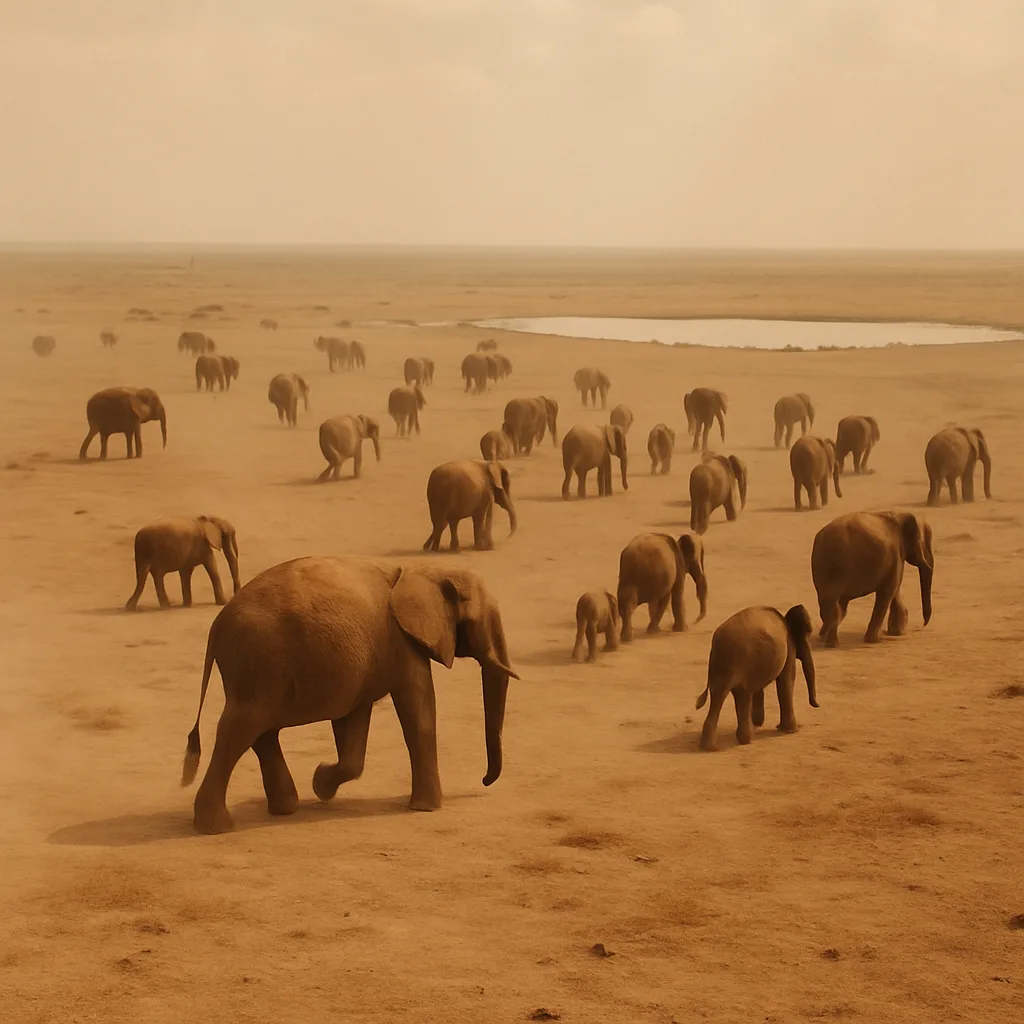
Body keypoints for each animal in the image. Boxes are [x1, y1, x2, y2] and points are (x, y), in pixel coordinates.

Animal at [179, 557, 519, 834]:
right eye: (479, 621)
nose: (484, 781)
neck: (424, 570)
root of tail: (216, 627)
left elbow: (353, 724)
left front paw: (321, 784)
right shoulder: (402, 643)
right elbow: (418, 712)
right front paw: (426, 809)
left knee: (261, 731)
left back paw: (286, 808)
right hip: (258, 660)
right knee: (240, 727)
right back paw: (216, 827)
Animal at [695, 605, 817, 752]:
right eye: (808, 633)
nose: (817, 705)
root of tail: (719, 644)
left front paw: (760, 722)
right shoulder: (789, 646)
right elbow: (786, 680)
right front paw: (790, 731)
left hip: (722, 667)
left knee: (720, 696)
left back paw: (711, 747)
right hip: (742, 663)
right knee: (742, 694)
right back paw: (745, 740)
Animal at [811, 511, 933, 648]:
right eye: (927, 542)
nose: (924, 624)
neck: (900, 514)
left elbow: (893, 589)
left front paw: (895, 632)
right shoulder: (896, 554)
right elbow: (889, 590)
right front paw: (875, 640)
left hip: (825, 569)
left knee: (831, 604)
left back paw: (824, 638)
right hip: (837, 568)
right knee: (835, 605)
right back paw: (832, 643)